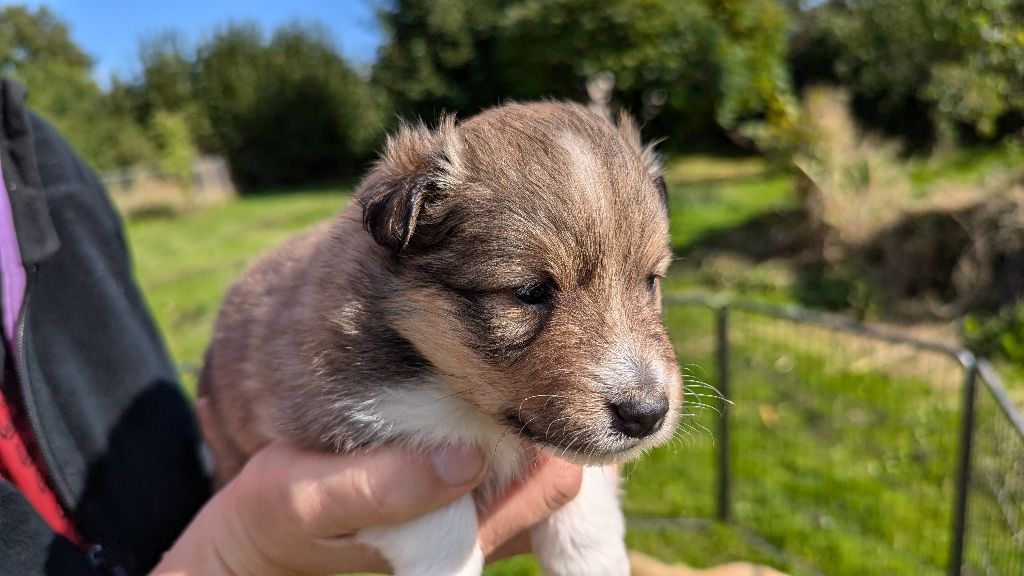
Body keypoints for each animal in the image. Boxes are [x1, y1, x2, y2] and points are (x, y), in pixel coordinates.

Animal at [195, 100, 684, 569]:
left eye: (650, 281)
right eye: (529, 291)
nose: (647, 415)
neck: (456, 393)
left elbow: (587, 511)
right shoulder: (363, 435)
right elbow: (444, 535)